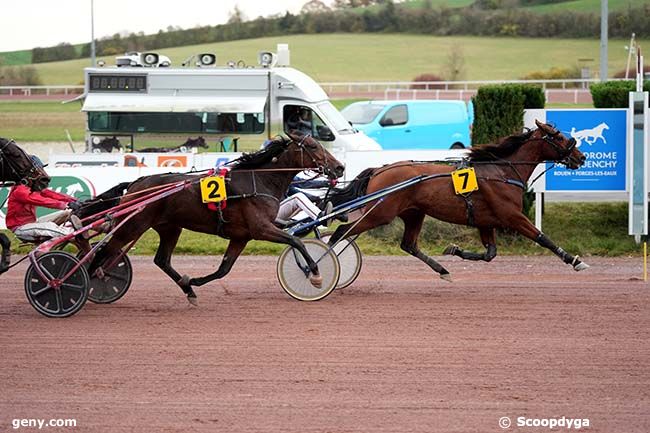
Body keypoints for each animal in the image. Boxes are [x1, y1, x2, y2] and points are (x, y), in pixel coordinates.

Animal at [89, 132, 346, 304]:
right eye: (312, 146)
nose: (340, 167)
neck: (259, 180)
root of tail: (136, 182)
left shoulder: (241, 237)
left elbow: (224, 269)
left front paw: (191, 282)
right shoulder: (261, 229)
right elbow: (297, 241)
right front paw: (315, 275)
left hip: (170, 227)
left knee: (161, 260)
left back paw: (188, 291)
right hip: (133, 226)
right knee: (103, 252)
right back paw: (89, 284)